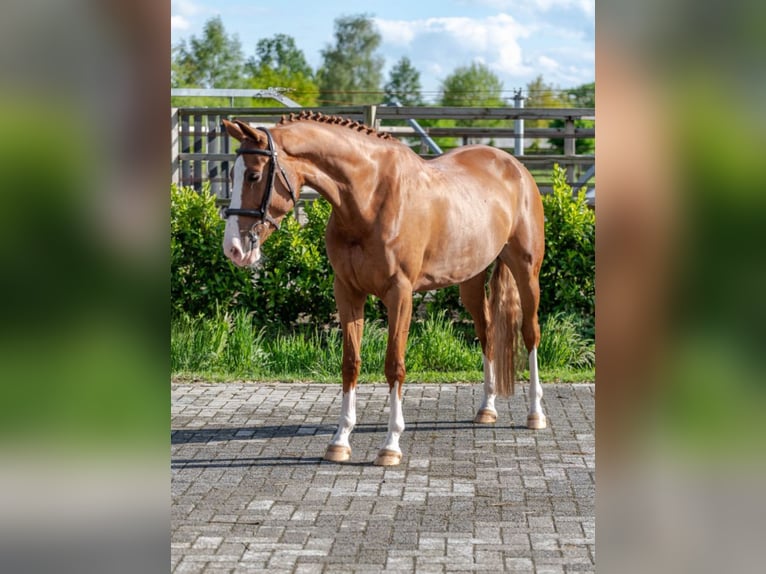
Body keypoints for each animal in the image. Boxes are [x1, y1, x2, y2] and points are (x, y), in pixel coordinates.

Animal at [220, 112, 544, 468]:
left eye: (253, 175)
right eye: (233, 174)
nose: (234, 249)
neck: (368, 199)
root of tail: (513, 166)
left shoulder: (399, 295)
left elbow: (394, 365)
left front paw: (390, 445)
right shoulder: (347, 292)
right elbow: (350, 363)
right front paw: (340, 441)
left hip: (527, 272)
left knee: (530, 333)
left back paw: (535, 413)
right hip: (471, 279)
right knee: (487, 332)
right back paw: (487, 409)